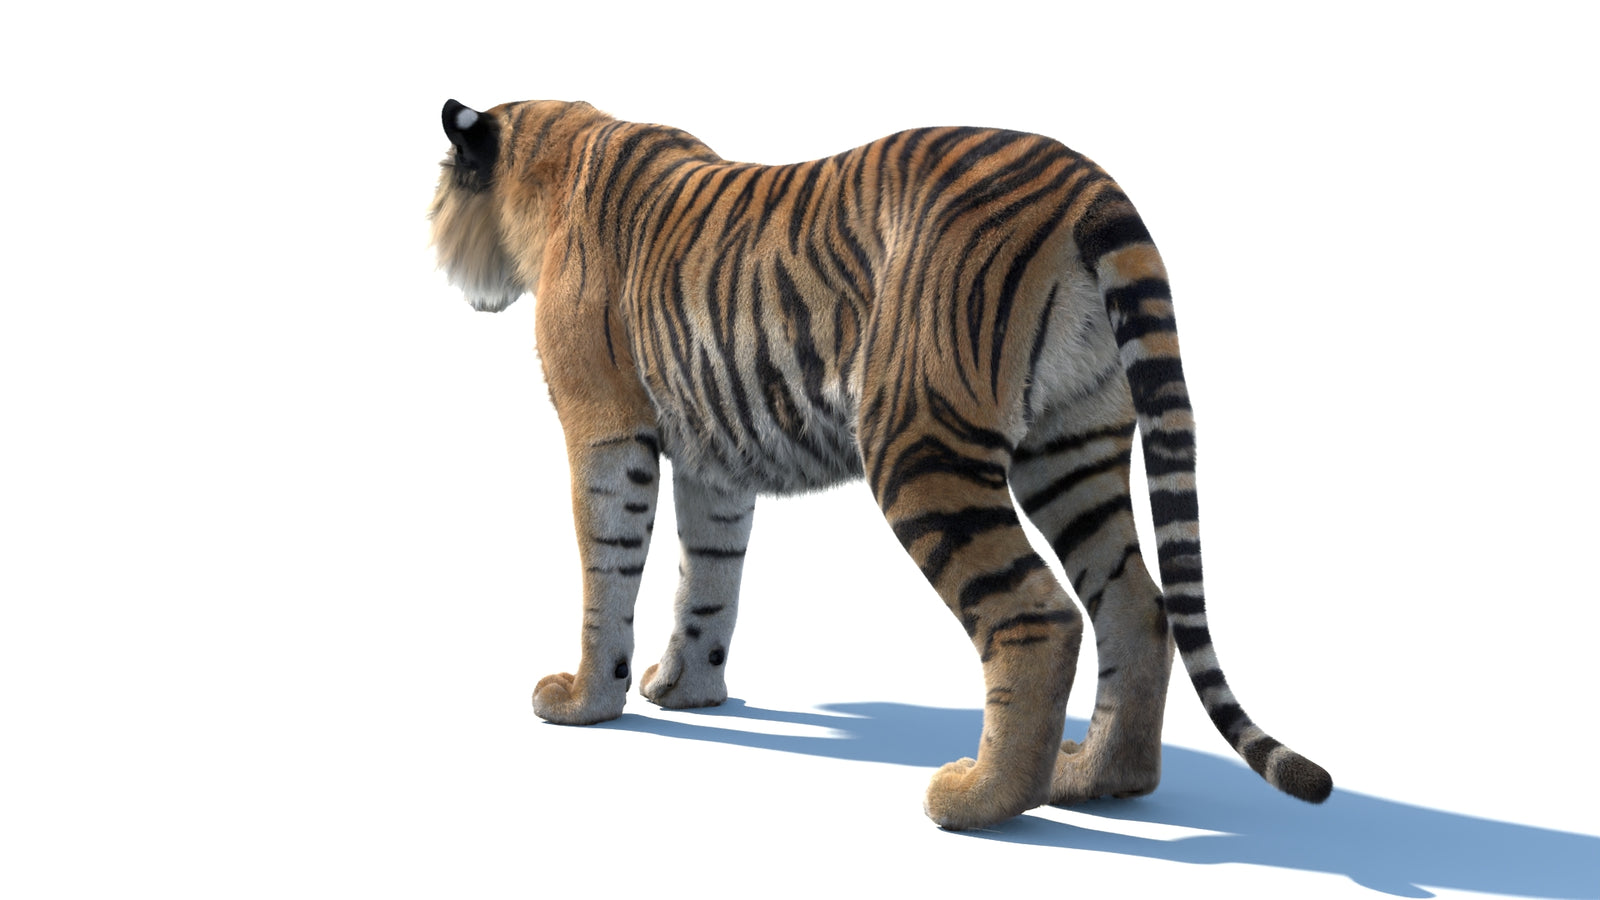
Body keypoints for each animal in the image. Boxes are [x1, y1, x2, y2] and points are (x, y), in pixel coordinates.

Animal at [428, 97, 1332, 830]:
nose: (433, 239)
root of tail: (1090, 186)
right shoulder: (714, 459)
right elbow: (708, 578)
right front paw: (688, 691)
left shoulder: (605, 429)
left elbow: (607, 570)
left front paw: (586, 700)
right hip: (1071, 446)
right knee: (1137, 606)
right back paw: (1097, 779)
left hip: (919, 441)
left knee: (1039, 615)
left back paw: (981, 801)